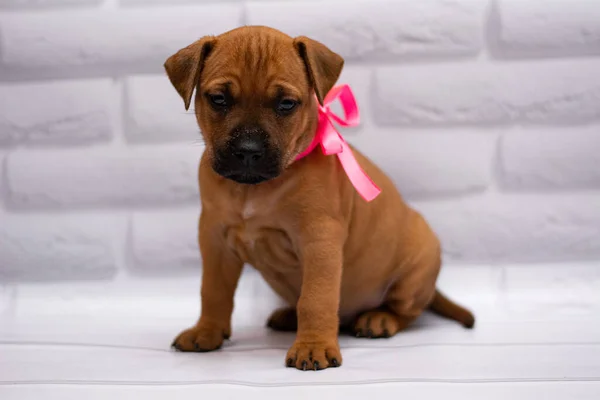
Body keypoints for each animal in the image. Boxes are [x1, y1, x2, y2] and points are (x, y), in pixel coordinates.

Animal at [164, 25, 474, 372]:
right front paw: (206, 331)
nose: (248, 151)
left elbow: (316, 298)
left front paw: (312, 347)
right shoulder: (215, 240)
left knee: (406, 311)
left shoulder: (319, 241)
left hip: (417, 266)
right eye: (219, 99)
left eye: (286, 104)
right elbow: (213, 290)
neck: (254, 189)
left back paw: (379, 319)